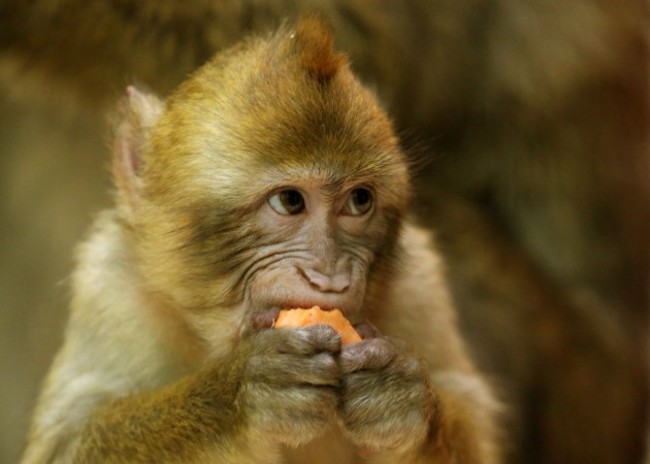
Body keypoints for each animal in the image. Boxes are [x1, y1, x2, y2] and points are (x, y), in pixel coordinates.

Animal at [1, 1, 647, 463]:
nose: (331, 276)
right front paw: (239, 397)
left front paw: (402, 399)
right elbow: (66, 440)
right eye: (290, 201)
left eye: (358, 201)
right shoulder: (112, 286)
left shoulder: (418, 284)